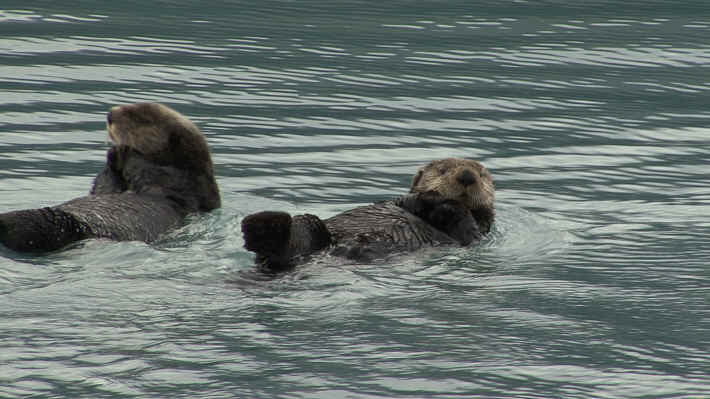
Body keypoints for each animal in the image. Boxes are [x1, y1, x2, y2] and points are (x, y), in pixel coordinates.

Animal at [0, 103, 221, 253]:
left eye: (139, 118)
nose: (110, 115)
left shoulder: (177, 181)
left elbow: (147, 171)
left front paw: (124, 151)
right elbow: (104, 186)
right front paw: (113, 154)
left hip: (64, 227)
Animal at [243, 157, 496, 272]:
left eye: (482, 174)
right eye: (442, 170)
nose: (467, 175)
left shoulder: (477, 234)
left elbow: (467, 229)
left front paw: (449, 207)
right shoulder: (402, 200)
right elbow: (410, 201)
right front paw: (431, 197)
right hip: (311, 227)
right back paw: (263, 226)